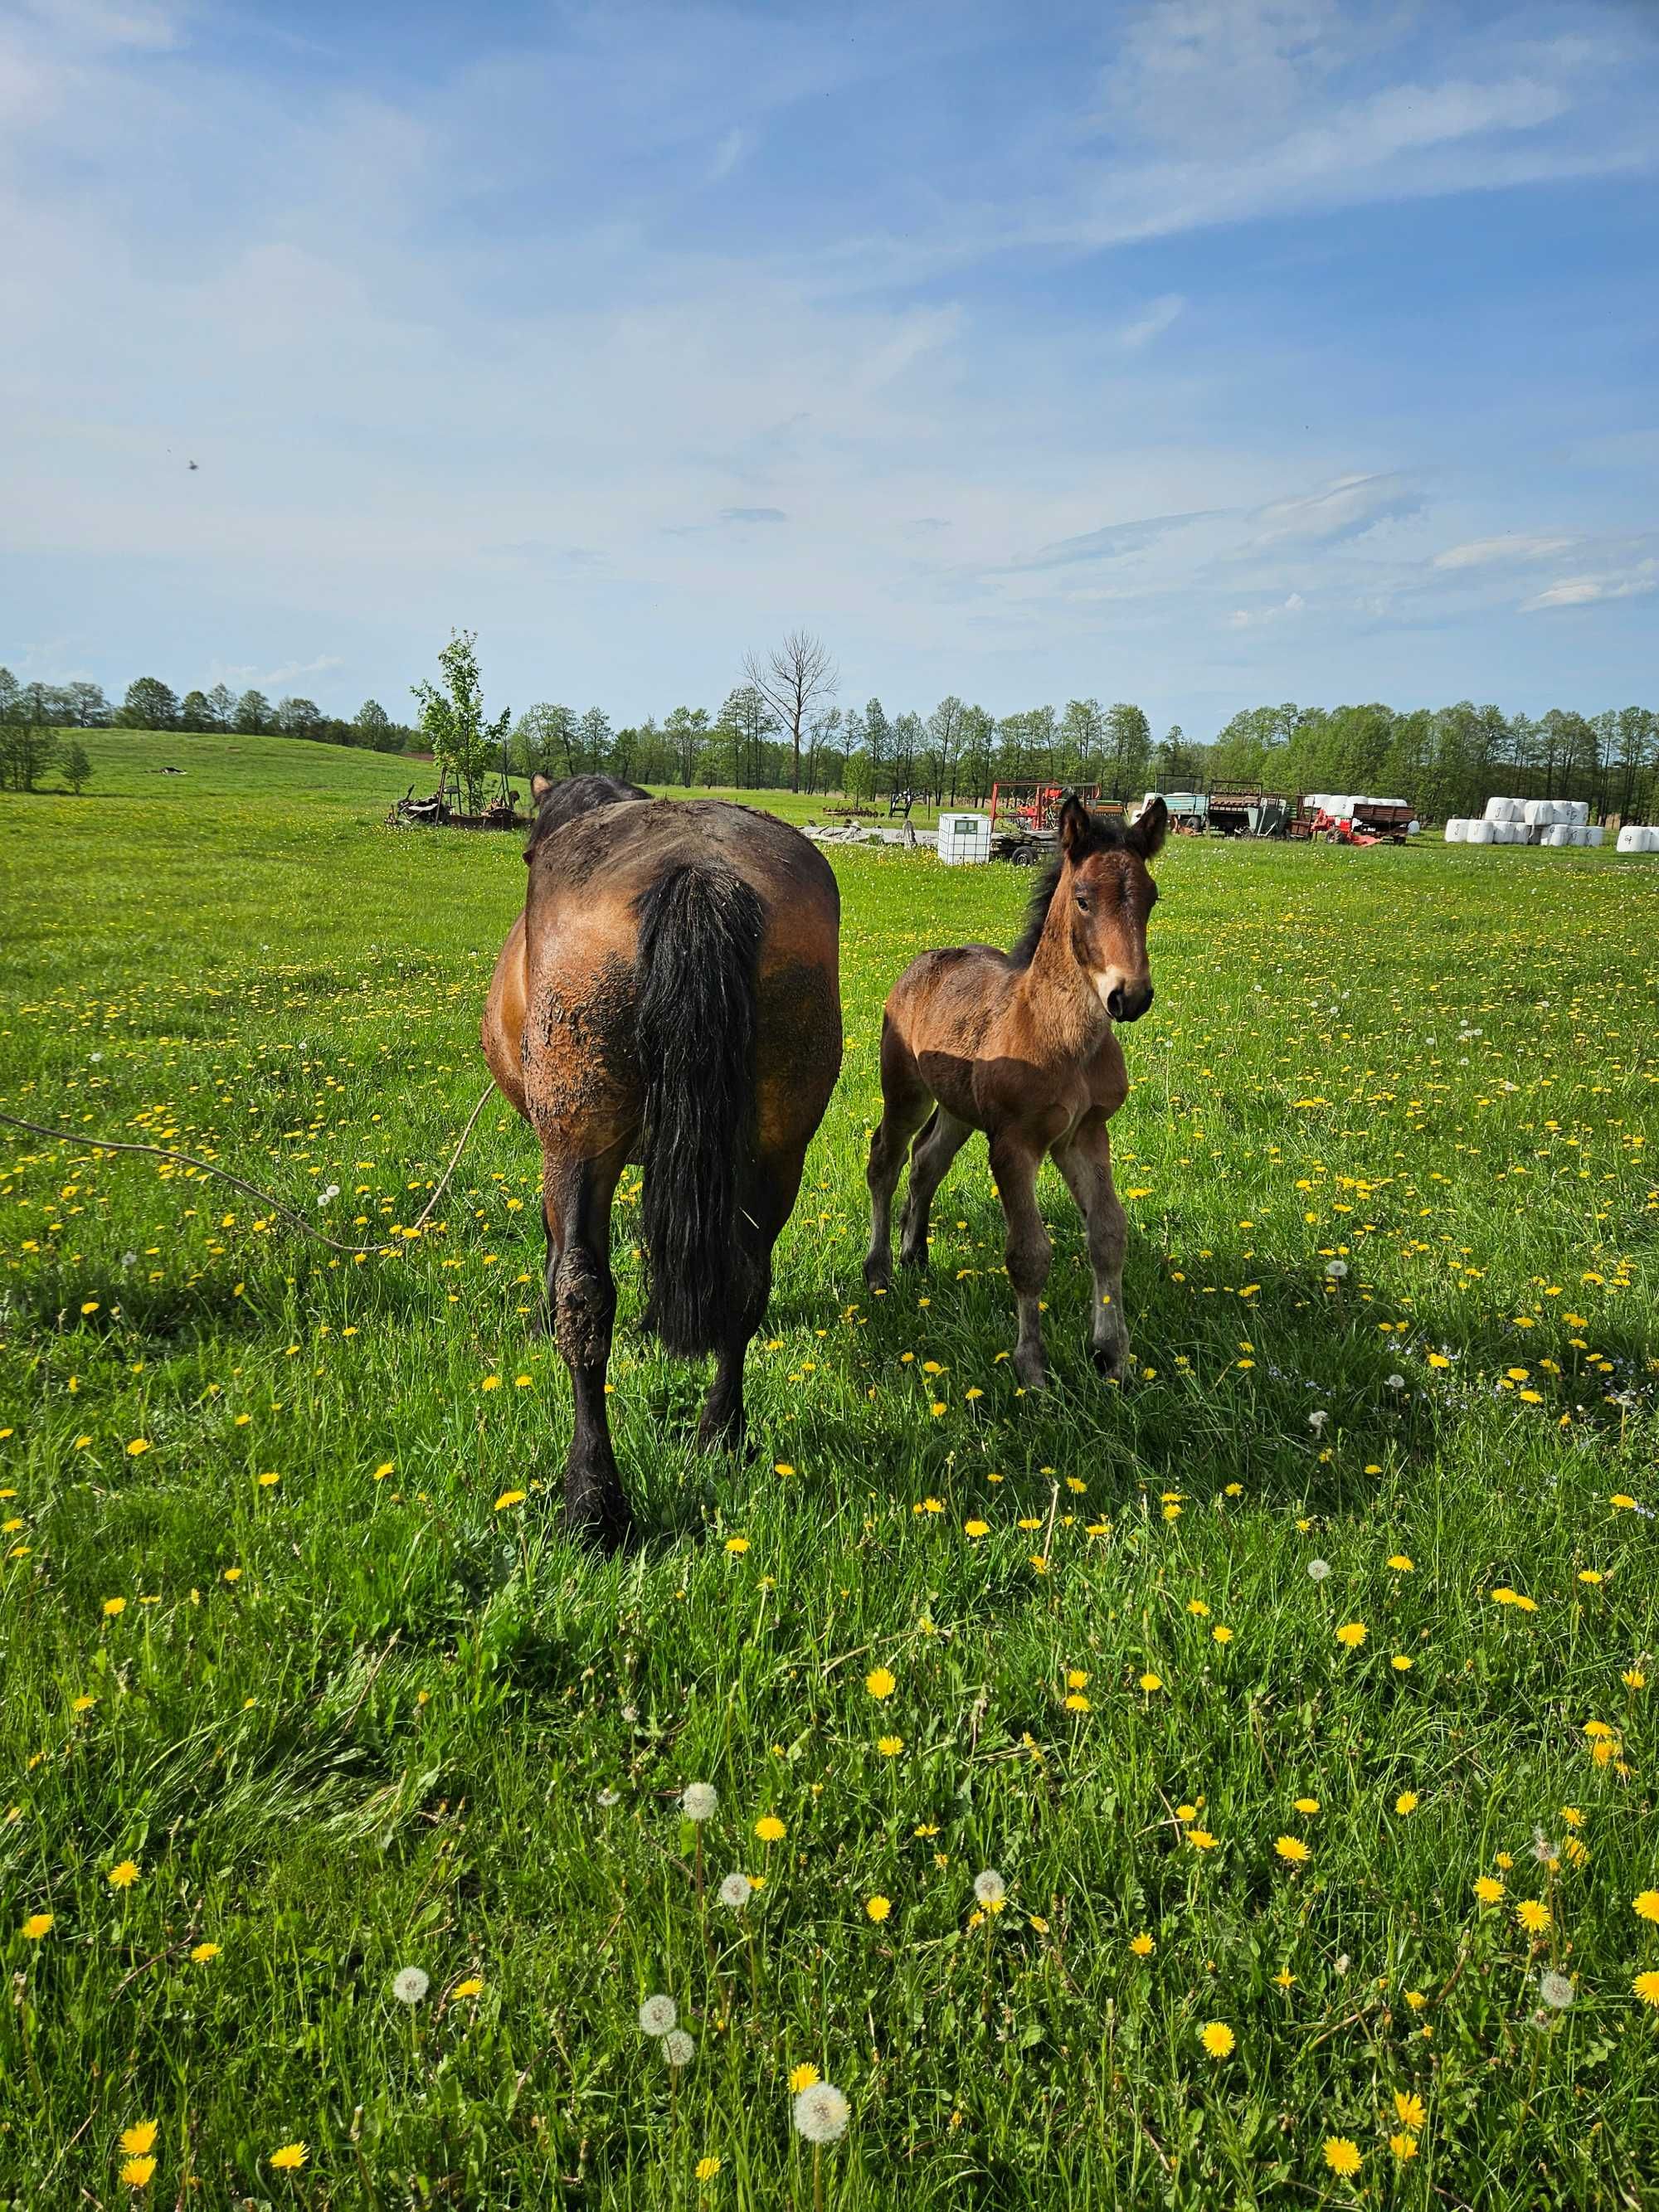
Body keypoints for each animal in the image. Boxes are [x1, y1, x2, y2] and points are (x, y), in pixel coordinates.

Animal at [871, 791, 1168, 1380]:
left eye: (1151, 899)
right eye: (1082, 900)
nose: (1130, 996)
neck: (1063, 1039)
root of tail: (924, 960)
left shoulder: (1085, 1136)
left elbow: (1108, 1236)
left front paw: (1113, 1358)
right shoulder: (1013, 1143)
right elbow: (1028, 1253)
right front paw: (1032, 1368)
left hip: (958, 1108)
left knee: (927, 1160)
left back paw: (916, 1252)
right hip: (907, 1092)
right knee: (886, 1160)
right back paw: (880, 1270)